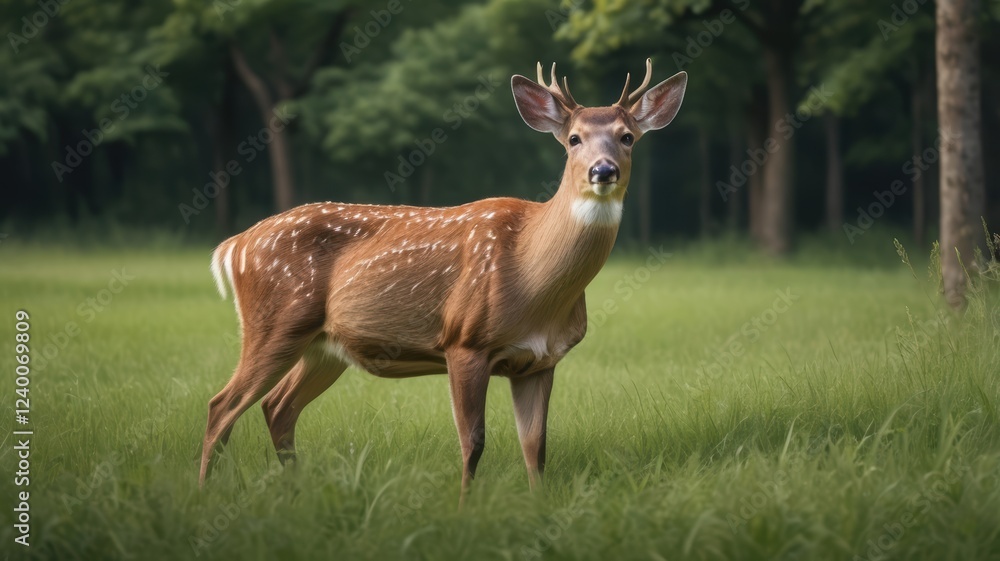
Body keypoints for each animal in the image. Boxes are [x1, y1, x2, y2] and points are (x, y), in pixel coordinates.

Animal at [200, 59, 687, 502]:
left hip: (324, 346)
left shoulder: (541, 360)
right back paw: (205, 493)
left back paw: (295, 490)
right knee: (221, 406)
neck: (531, 278)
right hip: (275, 322)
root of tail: (235, 244)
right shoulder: (465, 341)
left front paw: (538, 506)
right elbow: (473, 441)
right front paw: (463, 507)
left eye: (627, 137)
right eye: (573, 139)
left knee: (277, 406)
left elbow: (536, 447)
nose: (603, 170)